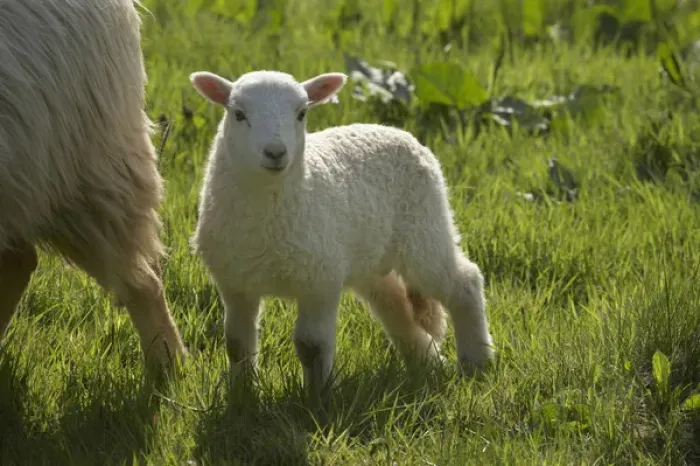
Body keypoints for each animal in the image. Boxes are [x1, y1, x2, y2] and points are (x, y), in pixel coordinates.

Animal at [189, 69, 495, 396]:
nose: (275, 152)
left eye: (302, 113)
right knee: (393, 303)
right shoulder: (235, 283)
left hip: (424, 228)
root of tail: (395, 131)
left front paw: (317, 397)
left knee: (464, 283)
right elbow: (236, 344)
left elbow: (310, 346)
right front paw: (242, 395)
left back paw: (476, 361)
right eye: (238, 114)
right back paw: (427, 361)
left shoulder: (319, 280)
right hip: (369, 258)